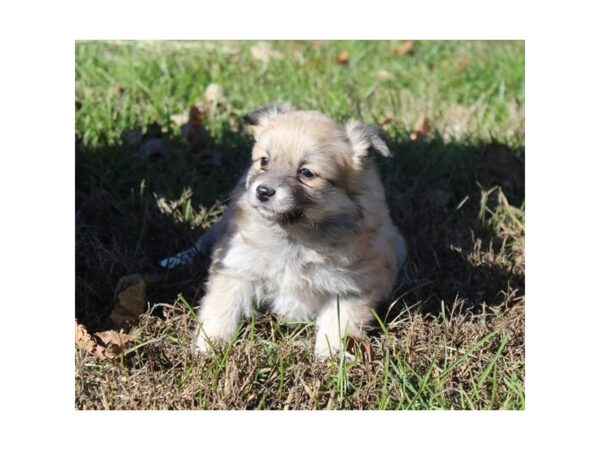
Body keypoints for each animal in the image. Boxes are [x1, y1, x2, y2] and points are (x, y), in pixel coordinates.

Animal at [161, 103, 408, 358]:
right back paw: (175, 260)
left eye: (306, 173)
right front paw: (209, 348)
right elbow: (221, 309)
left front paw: (329, 358)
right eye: (264, 161)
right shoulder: (237, 266)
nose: (263, 191)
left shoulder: (351, 289)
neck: (294, 237)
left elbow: (337, 325)